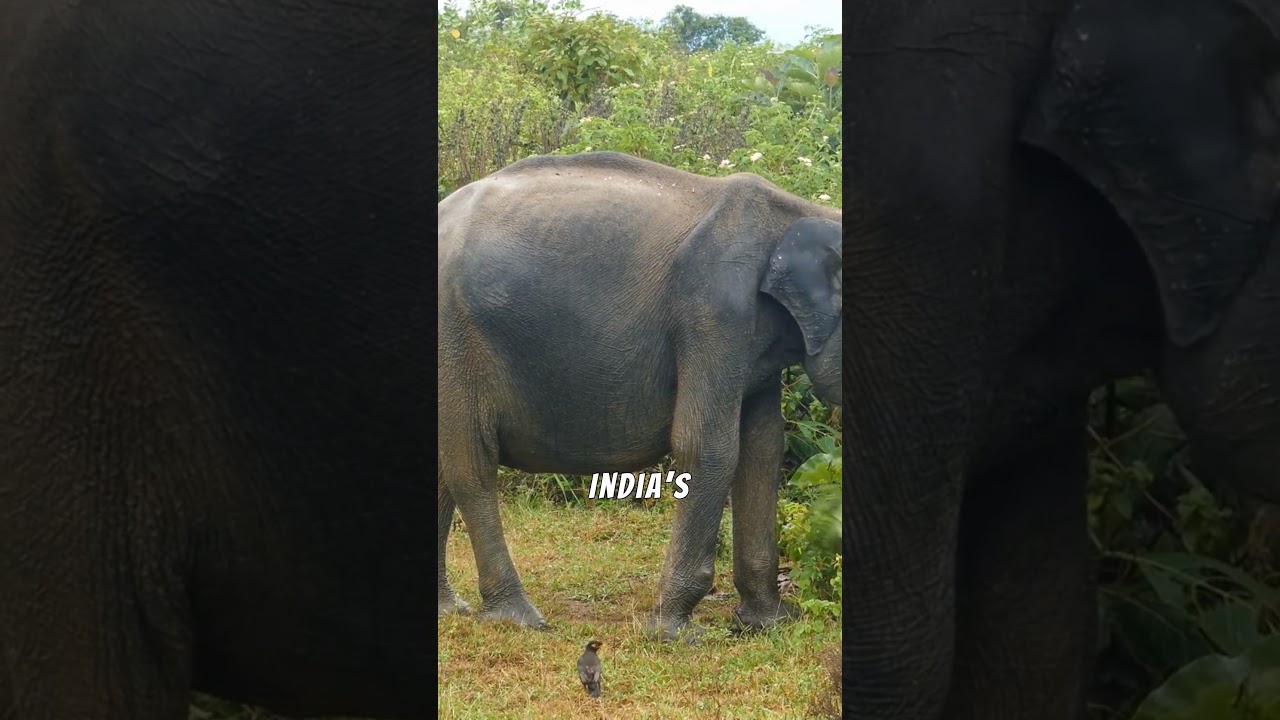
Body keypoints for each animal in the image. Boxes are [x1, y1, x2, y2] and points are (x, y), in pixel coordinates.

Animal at [437, 151, 842, 640]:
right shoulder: (714, 312)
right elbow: (708, 446)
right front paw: (673, 633)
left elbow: (763, 450)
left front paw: (771, 623)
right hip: (456, 339)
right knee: (470, 464)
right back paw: (519, 618)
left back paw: (449, 608)